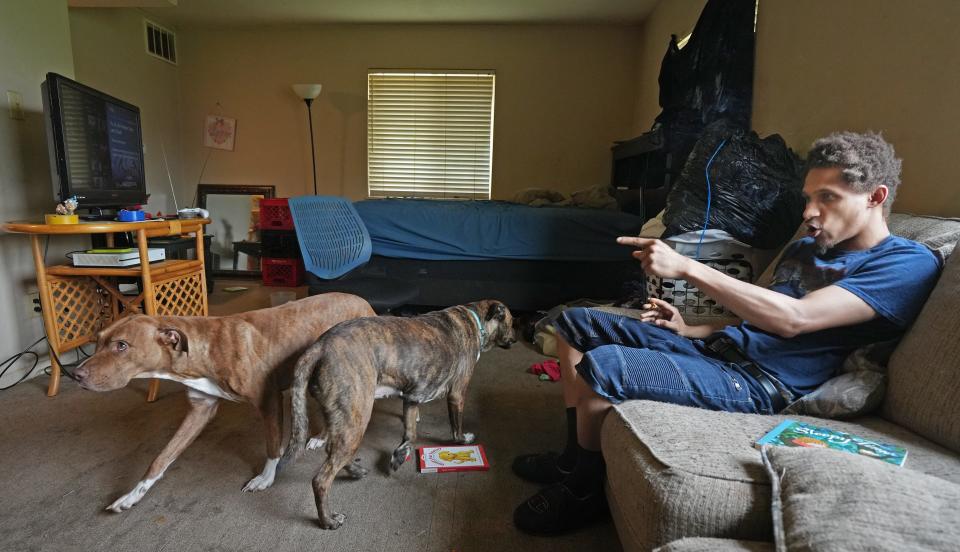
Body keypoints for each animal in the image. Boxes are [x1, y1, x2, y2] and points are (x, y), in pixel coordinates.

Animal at [73, 294, 376, 512]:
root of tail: (363, 301)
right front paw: (132, 495)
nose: (75, 375)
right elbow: (161, 458)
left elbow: (273, 447)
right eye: (97, 341)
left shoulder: (269, 401)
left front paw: (266, 478)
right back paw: (320, 436)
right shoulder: (200, 410)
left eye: (122, 346)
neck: (203, 351)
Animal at [282, 300, 512, 528]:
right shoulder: (456, 395)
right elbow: (456, 427)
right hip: (356, 420)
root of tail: (319, 347)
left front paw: (400, 454)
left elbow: (410, 434)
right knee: (321, 479)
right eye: (511, 323)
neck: (475, 319)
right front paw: (463, 440)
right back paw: (328, 519)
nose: (515, 338)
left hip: (345, 421)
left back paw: (353, 470)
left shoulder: (411, 400)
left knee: (332, 450)